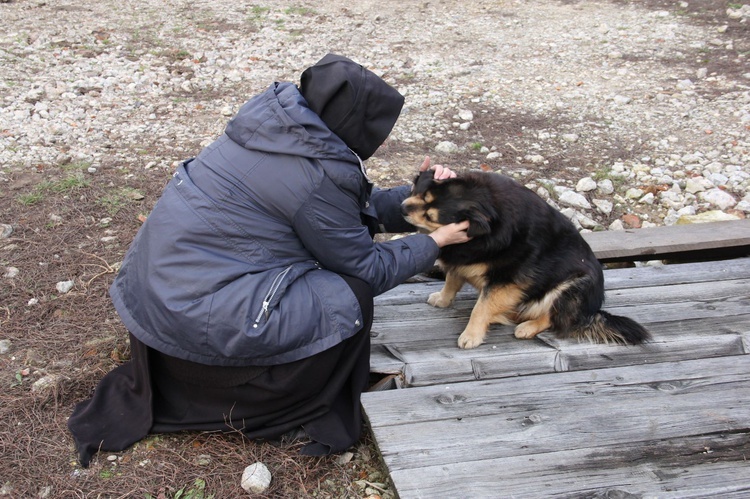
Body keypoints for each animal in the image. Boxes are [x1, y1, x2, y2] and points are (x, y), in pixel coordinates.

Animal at [400, 170, 652, 350]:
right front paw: (443, 299)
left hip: (575, 284)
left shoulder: (507, 278)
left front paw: (471, 335)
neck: (490, 214)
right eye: (420, 193)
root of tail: (592, 311)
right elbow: (452, 279)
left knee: (556, 317)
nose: (402, 207)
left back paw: (528, 327)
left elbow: (480, 308)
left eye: (430, 215)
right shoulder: (462, 256)